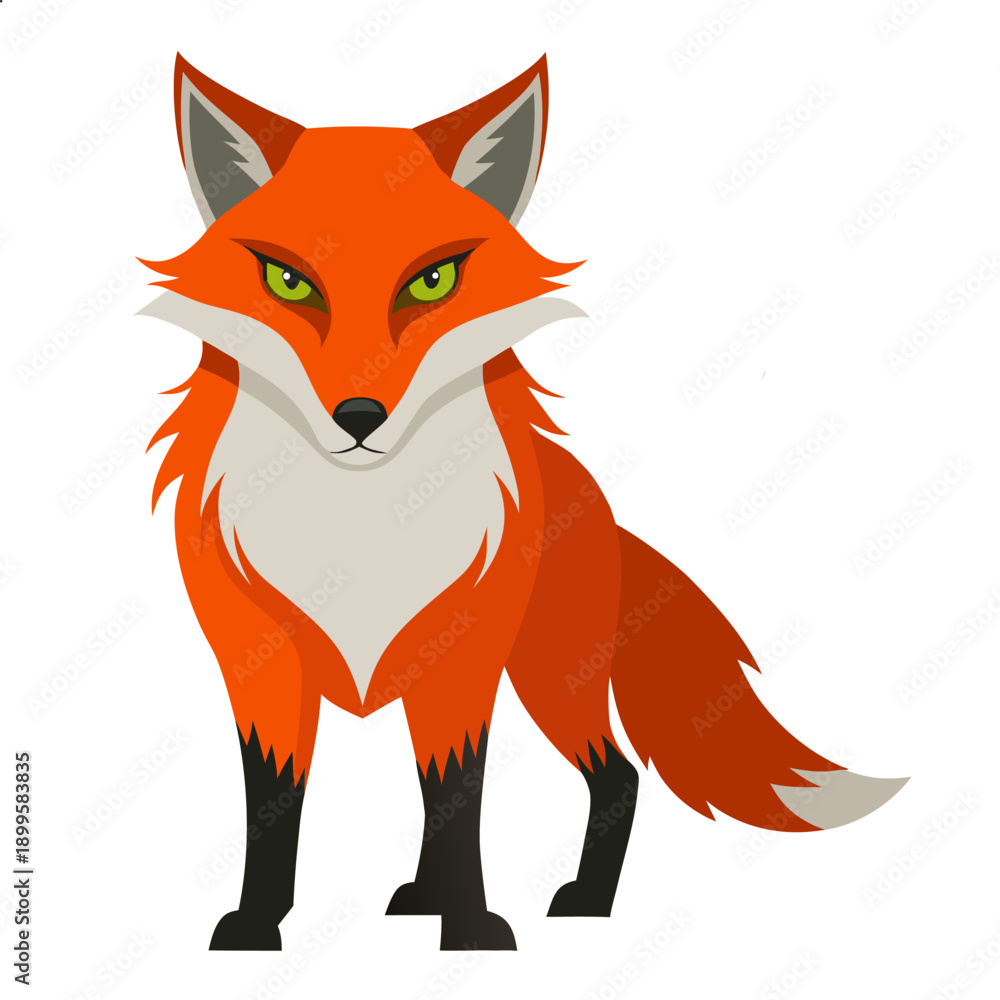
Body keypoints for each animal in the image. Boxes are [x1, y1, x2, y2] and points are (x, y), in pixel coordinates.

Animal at [139, 53, 908, 952]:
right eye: (289, 281)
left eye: (433, 280)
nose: (360, 418)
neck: (359, 528)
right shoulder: (260, 662)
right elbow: (275, 803)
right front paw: (258, 925)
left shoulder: (464, 652)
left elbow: (455, 794)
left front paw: (471, 928)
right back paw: (423, 895)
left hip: (550, 674)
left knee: (618, 775)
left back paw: (584, 902)